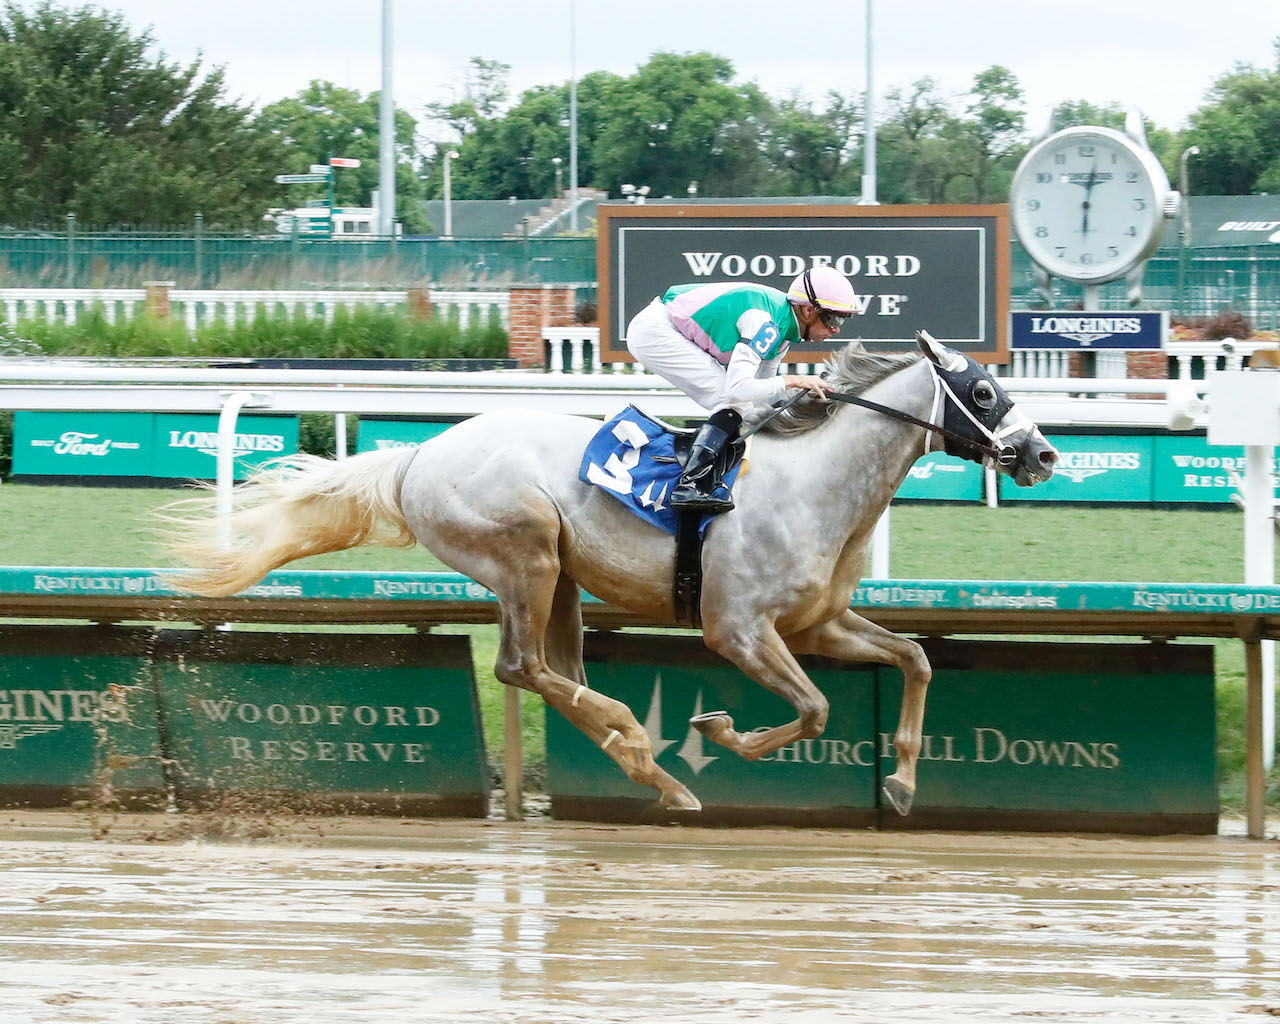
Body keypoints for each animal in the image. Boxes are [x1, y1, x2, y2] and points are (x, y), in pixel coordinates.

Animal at [167, 332, 1059, 814]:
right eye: (984, 389)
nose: (1045, 455)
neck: (817, 486)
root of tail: (418, 453)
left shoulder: (819, 624)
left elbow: (915, 660)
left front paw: (903, 782)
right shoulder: (738, 629)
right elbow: (810, 710)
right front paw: (720, 730)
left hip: (560, 577)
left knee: (554, 671)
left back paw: (653, 772)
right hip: (524, 551)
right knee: (521, 667)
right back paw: (638, 739)